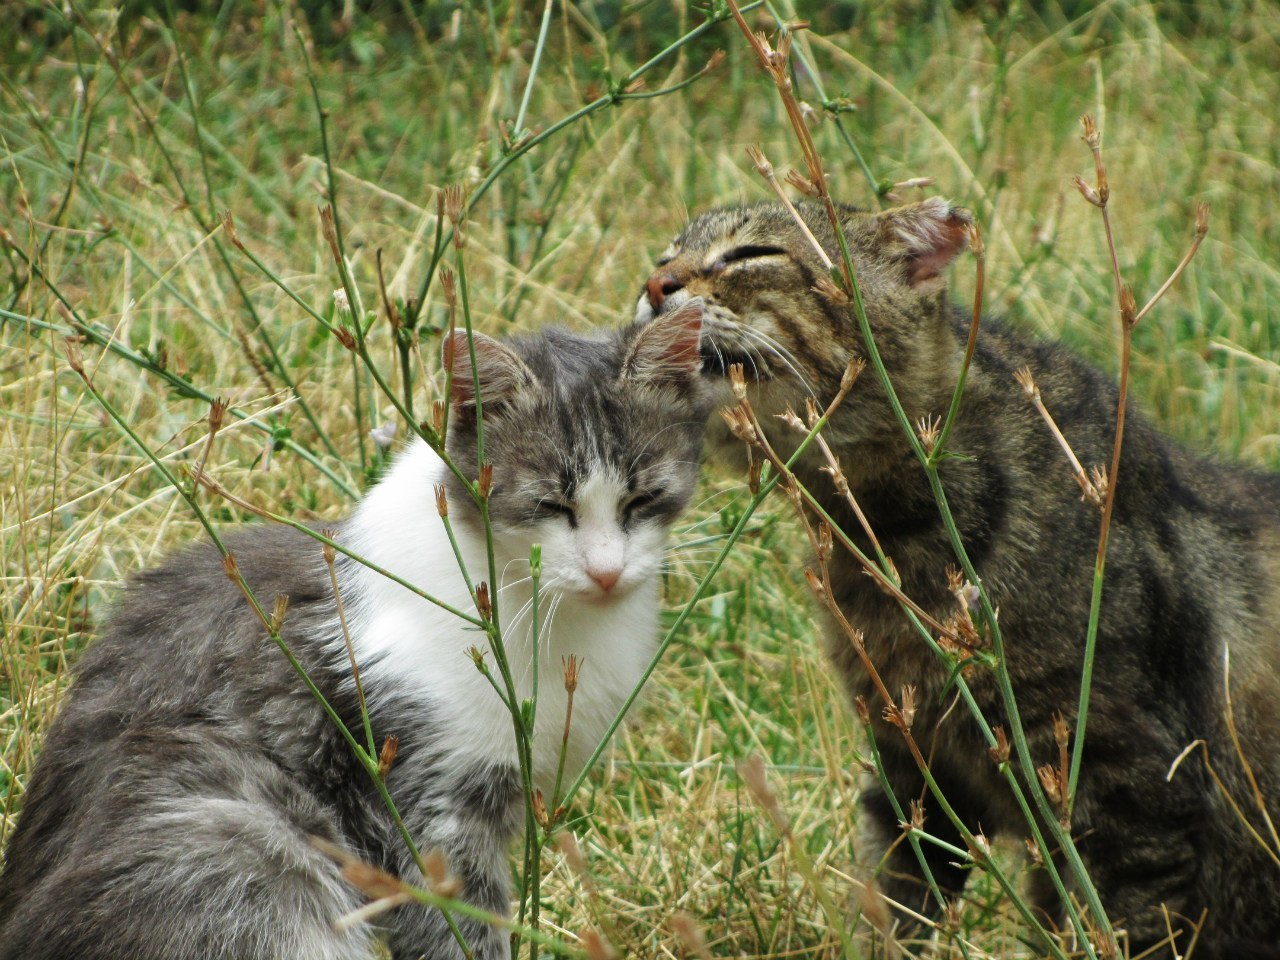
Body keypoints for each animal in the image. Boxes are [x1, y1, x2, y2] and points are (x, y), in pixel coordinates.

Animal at [0, 305, 711, 960]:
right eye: (551, 506)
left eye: (643, 500)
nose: (607, 571)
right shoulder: (431, 806)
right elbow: (460, 931)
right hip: (235, 840)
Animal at [634, 197, 1280, 960]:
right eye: (665, 254)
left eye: (750, 254)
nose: (654, 286)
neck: (889, 538)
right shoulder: (913, 775)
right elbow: (889, 908)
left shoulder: (1130, 800)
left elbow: (1120, 928)